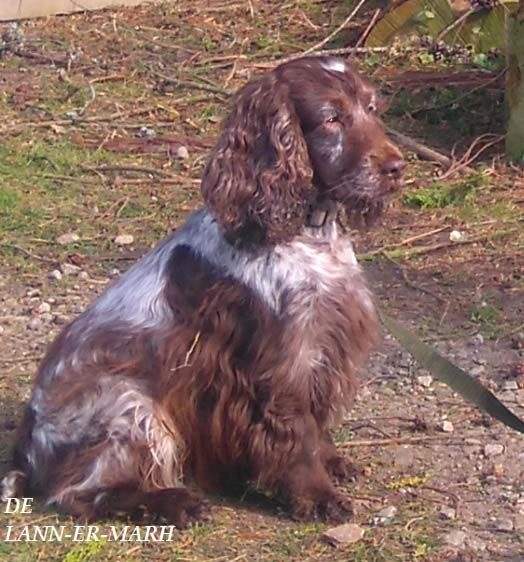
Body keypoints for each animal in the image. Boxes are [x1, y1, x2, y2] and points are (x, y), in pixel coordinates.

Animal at [1, 54, 406, 524]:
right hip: (130, 406)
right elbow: (296, 436)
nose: (397, 168)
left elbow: (316, 426)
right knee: (81, 494)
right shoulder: (281, 362)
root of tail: (25, 456)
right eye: (331, 118)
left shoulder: (326, 346)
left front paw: (332, 462)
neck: (308, 232)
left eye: (372, 109)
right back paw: (174, 503)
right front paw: (318, 496)